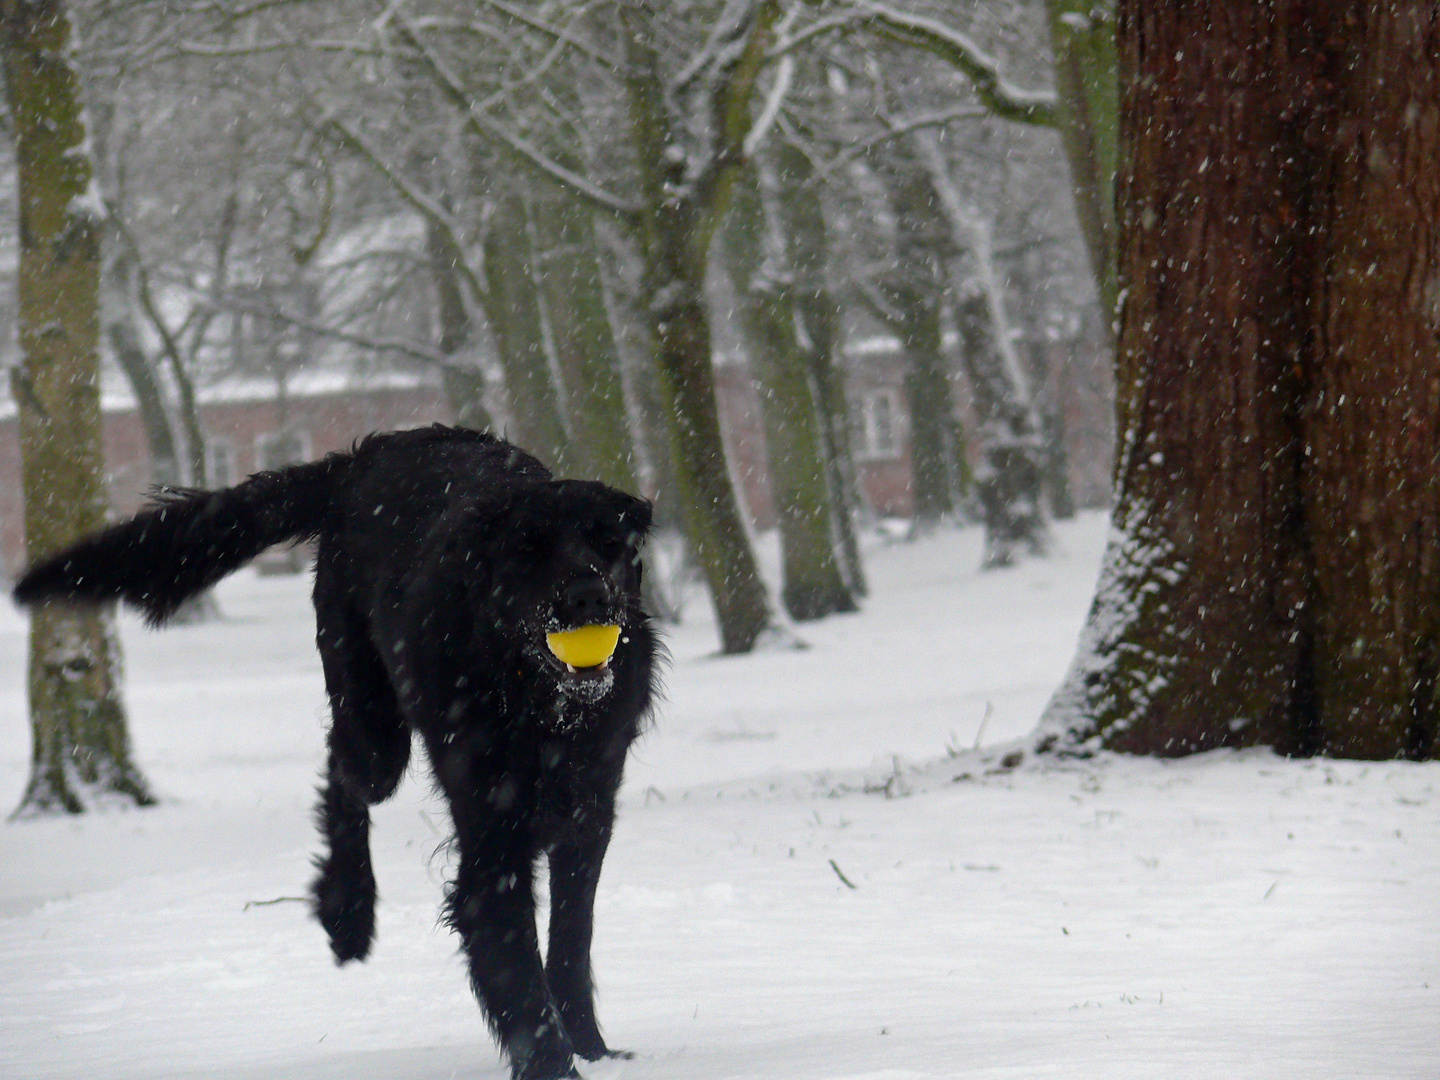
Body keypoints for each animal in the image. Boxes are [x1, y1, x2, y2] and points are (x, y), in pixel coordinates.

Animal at [12, 426, 659, 1080]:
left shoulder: (589, 816)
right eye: (530, 549)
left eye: (607, 543)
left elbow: (571, 942)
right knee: (342, 772)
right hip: (375, 732)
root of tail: (362, 456)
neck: (538, 701)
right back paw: (347, 912)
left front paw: (595, 1048)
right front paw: (554, 1063)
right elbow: (522, 982)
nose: (589, 597)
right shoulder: (492, 844)